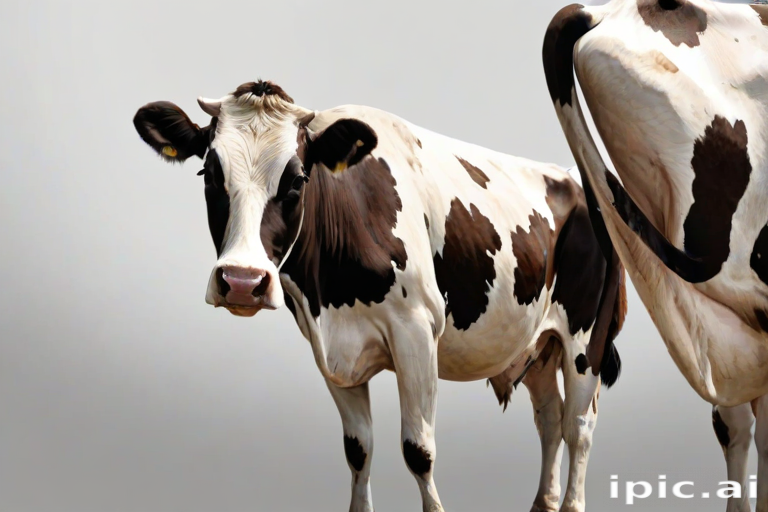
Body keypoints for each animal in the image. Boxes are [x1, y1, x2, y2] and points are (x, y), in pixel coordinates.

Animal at [132, 80, 626, 512]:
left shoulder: (417, 332)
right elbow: (358, 449)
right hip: (537, 343)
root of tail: (574, 177)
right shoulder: (329, 345)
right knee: (549, 420)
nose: (241, 280)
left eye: (297, 181)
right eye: (208, 174)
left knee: (578, 426)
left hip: (586, 339)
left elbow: (418, 450)